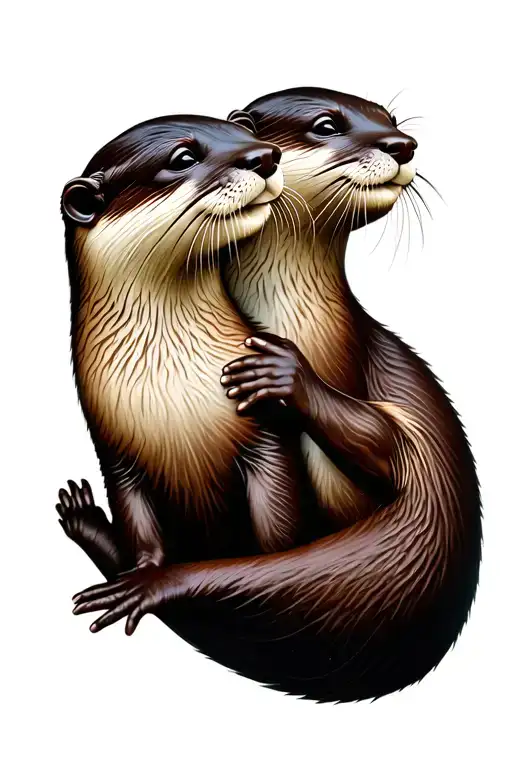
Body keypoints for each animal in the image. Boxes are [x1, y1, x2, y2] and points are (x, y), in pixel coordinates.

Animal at [62, 91, 481, 705]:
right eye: (184, 157)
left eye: (390, 119)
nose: (402, 144)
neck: (168, 391)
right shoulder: (114, 448)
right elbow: (138, 521)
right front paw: (141, 566)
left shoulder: (270, 439)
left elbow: (350, 472)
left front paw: (285, 372)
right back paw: (88, 523)